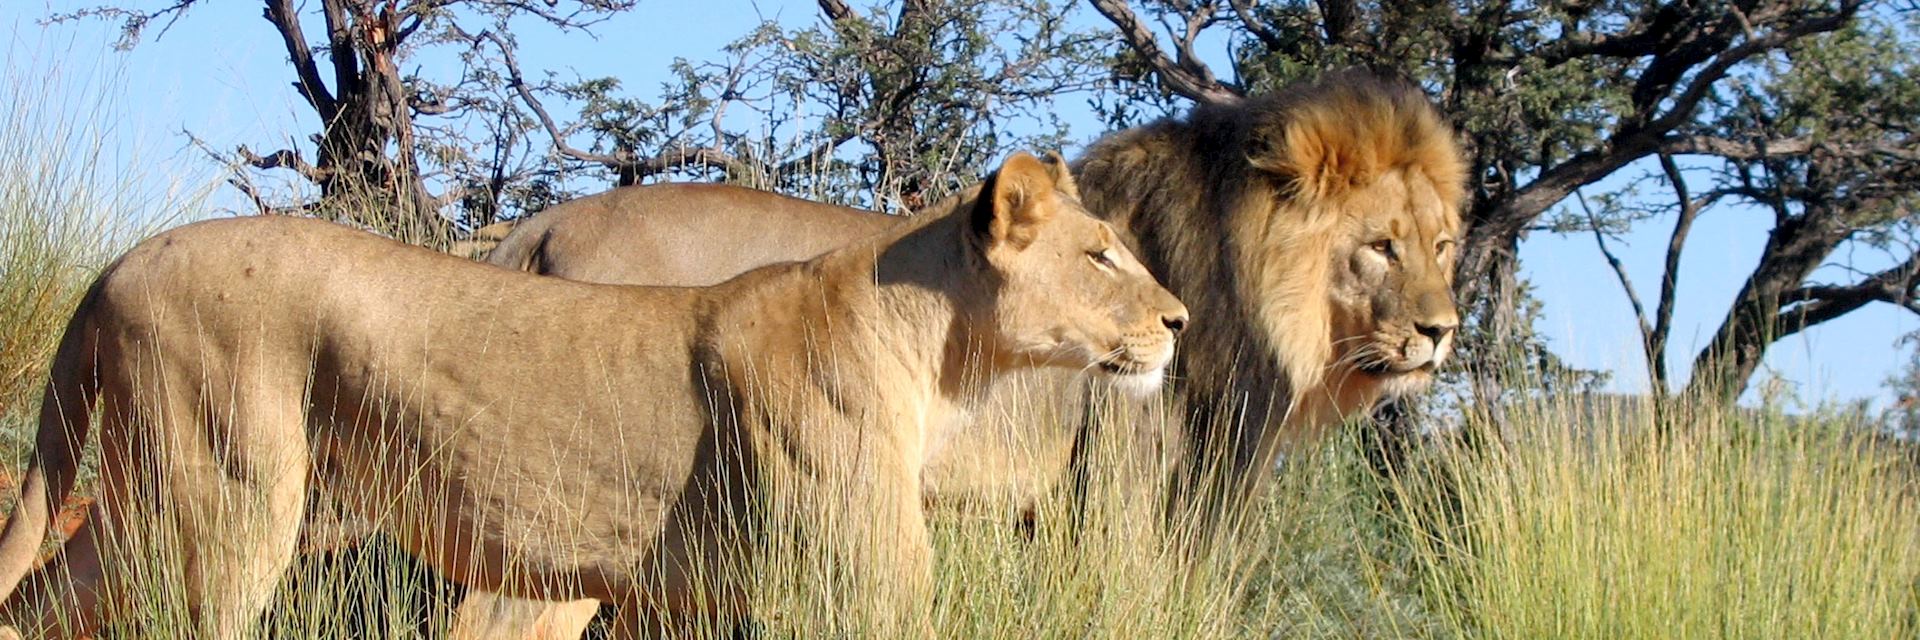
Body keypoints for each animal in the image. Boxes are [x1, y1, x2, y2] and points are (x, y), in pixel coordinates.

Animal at [0, 151, 1182, 634]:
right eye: (1101, 256)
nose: (1177, 322)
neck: (937, 353)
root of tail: (117, 263)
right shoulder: (863, 585)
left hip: (151, 504)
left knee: (37, 604)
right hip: (227, 507)